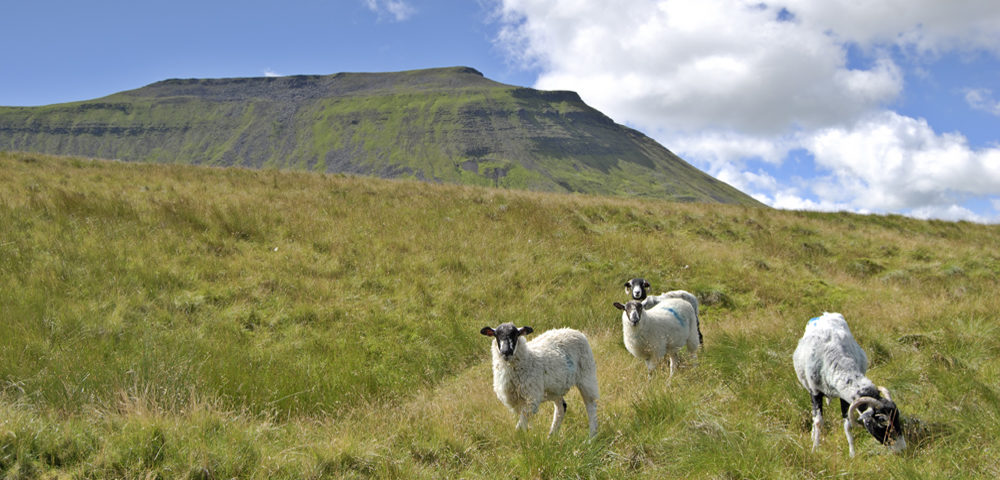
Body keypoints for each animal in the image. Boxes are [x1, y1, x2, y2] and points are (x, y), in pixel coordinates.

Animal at [796, 312, 908, 458]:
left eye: (897, 415)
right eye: (882, 420)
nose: (902, 449)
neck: (834, 359)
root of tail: (824, 314)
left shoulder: (844, 396)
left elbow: (847, 425)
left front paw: (852, 454)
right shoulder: (815, 392)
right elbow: (818, 421)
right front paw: (815, 449)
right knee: (814, 416)